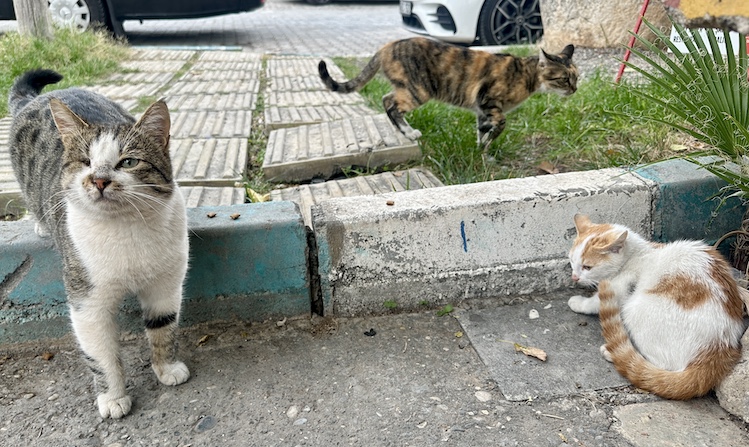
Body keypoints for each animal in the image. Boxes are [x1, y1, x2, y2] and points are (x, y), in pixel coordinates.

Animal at [8, 70, 190, 420]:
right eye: (85, 162)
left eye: (129, 162)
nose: (100, 180)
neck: (127, 230)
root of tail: (35, 99)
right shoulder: (87, 301)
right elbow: (100, 353)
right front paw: (113, 397)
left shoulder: (166, 283)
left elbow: (163, 327)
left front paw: (167, 367)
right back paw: (40, 224)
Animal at [318, 37, 576, 156]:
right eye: (564, 79)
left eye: (577, 77)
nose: (574, 90)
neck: (525, 74)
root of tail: (386, 47)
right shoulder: (488, 101)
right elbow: (501, 123)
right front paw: (488, 143)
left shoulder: (482, 110)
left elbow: (482, 131)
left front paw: (481, 150)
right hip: (418, 91)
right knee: (389, 103)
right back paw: (408, 132)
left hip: (407, 87)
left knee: (387, 98)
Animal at [568, 215, 744, 400]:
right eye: (571, 261)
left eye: (587, 267)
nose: (574, 277)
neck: (636, 256)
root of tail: (720, 346)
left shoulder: (617, 288)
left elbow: (593, 303)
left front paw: (578, 302)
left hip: (634, 309)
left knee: (662, 364)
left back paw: (612, 353)